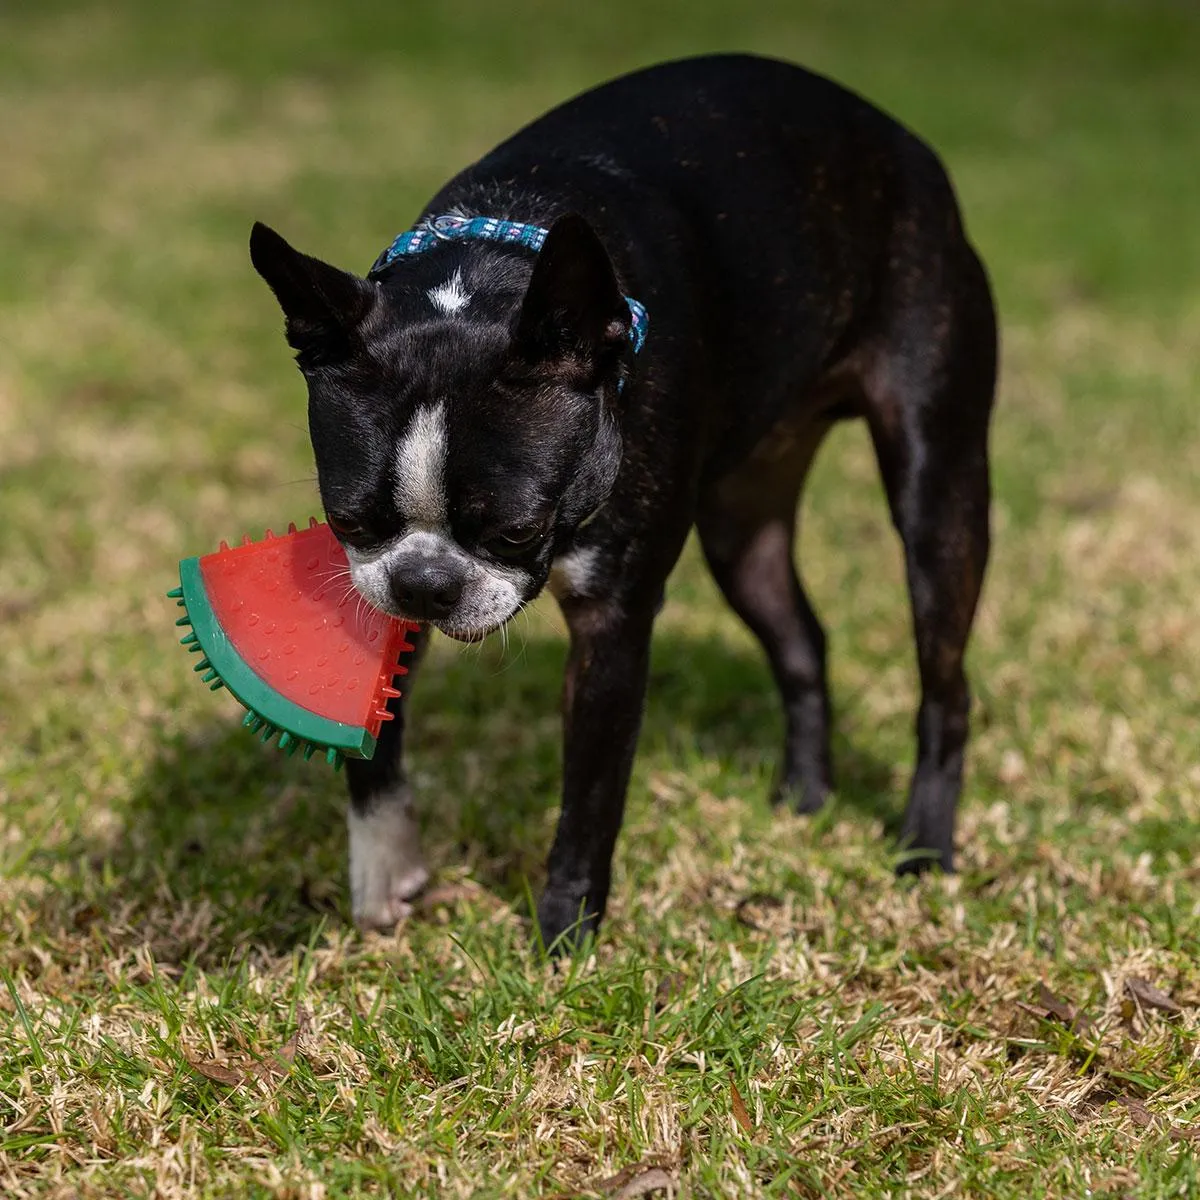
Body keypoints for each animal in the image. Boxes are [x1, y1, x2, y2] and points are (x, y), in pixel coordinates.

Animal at [248, 51, 998, 945]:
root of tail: (905, 144)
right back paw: (805, 798)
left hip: (937, 486)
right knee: (802, 639)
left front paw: (563, 937)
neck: (494, 264)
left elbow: (591, 797)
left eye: (516, 531)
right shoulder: (380, 595)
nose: (427, 586)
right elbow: (376, 735)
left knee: (945, 685)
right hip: (740, 527)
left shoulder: (613, 624)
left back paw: (924, 847)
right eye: (350, 521)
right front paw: (385, 864)